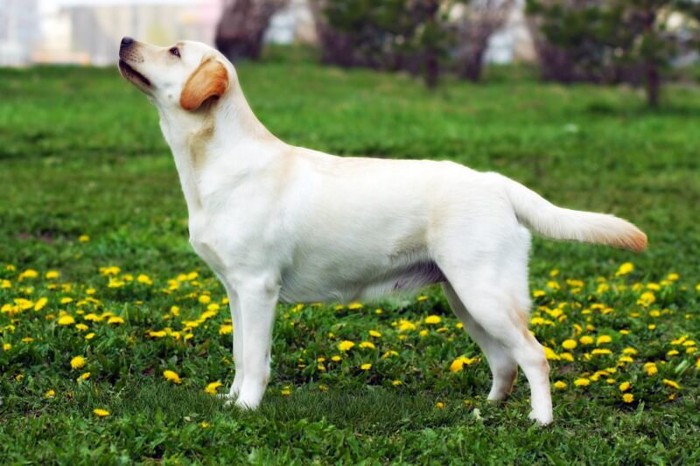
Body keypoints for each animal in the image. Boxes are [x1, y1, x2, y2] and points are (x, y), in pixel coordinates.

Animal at [119, 38, 644, 424]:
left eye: (174, 51)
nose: (124, 40)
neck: (214, 161)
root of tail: (497, 183)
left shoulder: (257, 287)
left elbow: (255, 360)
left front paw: (246, 409)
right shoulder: (235, 290)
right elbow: (239, 353)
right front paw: (230, 401)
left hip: (485, 294)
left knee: (534, 356)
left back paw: (540, 421)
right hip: (465, 297)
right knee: (504, 361)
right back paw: (485, 411)